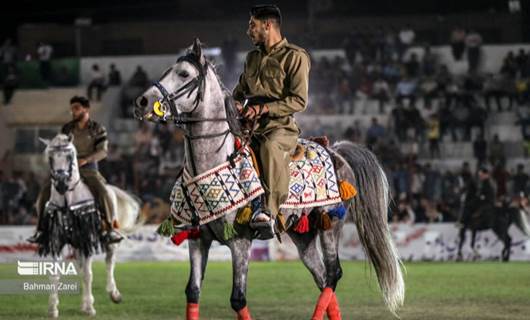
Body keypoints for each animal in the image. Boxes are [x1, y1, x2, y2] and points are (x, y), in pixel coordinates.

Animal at [37, 133, 142, 318]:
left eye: (70, 156)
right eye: (50, 157)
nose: (61, 184)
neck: (68, 201)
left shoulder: (87, 239)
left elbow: (88, 274)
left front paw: (90, 308)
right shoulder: (58, 242)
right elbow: (55, 275)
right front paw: (53, 308)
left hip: (109, 241)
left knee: (109, 262)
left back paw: (113, 294)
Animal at [134, 40, 402, 320]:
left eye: (184, 74)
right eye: (168, 70)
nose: (142, 101)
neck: (213, 161)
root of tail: (336, 151)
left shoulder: (239, 242)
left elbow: (238, 299)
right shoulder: (198, 240)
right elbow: (193, 292)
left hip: (331, 224)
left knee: (332, 274)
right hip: (303, 234)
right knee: (321, 276)